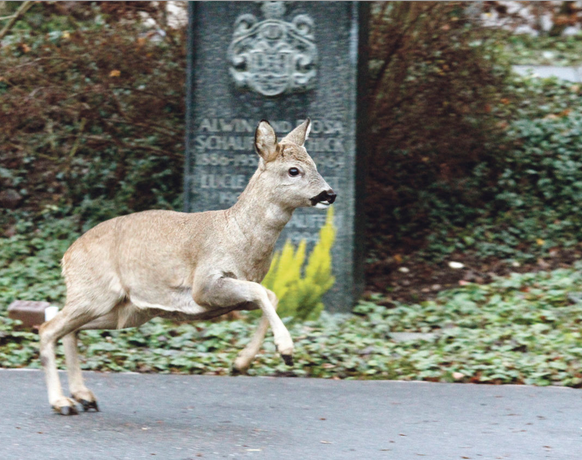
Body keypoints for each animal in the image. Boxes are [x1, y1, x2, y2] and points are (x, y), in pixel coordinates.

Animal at [38, 117, 336, 414]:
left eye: (315, 164)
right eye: (294, 170)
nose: (329, 194)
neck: (238, 234)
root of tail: (67, 256)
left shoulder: (234, 295)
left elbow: (270, 295)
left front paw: (241, 363)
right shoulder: (204, 284)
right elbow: (262, 292)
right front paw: (285, 350)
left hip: (125, 311)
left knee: (68, 329)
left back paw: (84, 396)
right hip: (94, 294)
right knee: (47, 328)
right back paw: (61, 402)